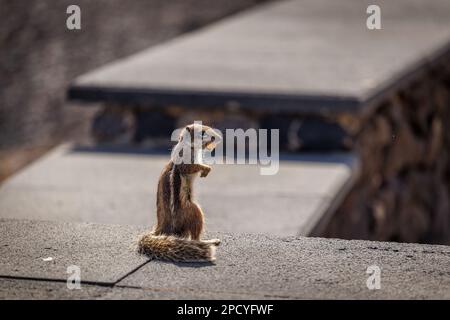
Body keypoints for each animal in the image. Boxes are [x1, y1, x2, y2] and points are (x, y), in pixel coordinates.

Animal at [137, 123, 221, 262]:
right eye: (202, 132)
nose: (217, 137)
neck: (188, 145)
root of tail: (162, 228)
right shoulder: (185, 160)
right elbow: (192, 167)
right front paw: (206, 169)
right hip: (194, 211)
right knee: (195, 238)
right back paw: (210, 241)